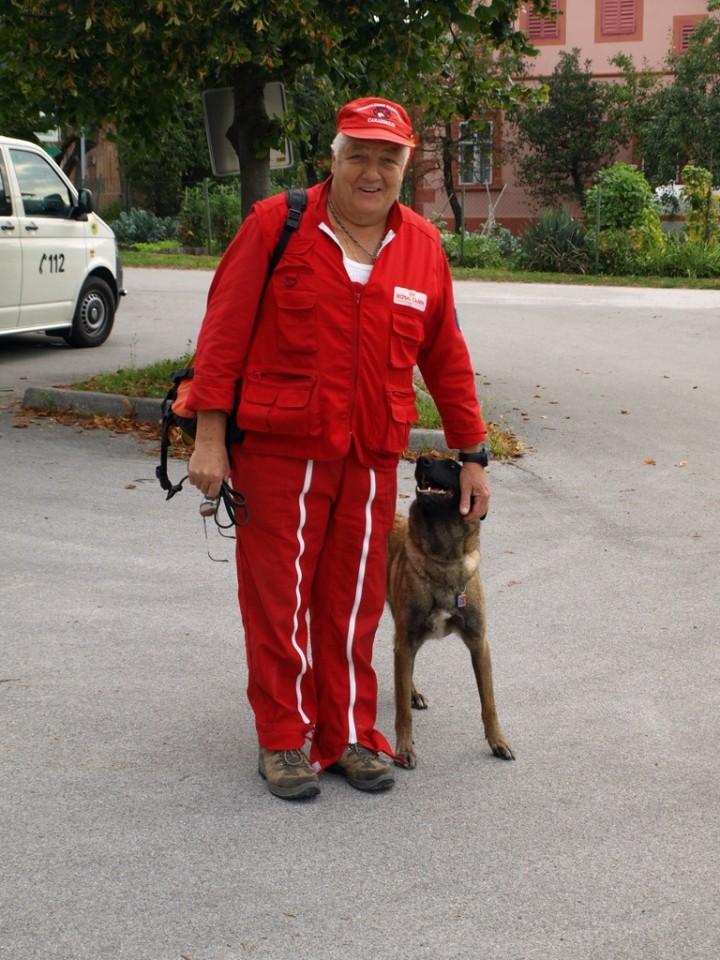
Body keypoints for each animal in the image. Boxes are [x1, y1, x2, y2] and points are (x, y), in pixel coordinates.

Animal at [386, 454, 516, 768]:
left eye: (454, 467)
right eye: (430, 461)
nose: (422, 460)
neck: (442, 559)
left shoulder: (479, 644)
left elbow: (489, 703)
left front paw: (498, 741)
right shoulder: (407, 640)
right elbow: (401, 712)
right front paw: (404, 748)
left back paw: (413, 691)